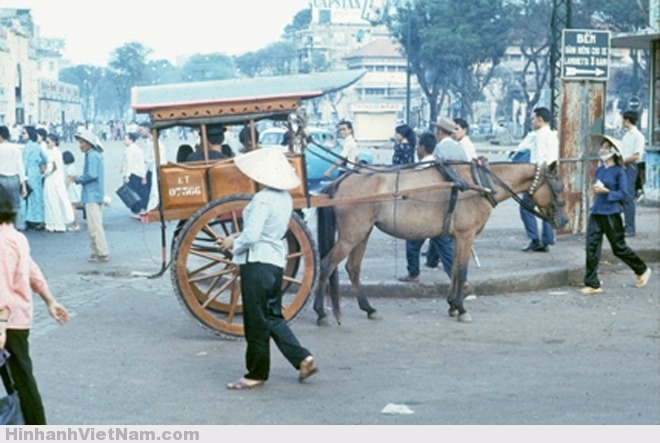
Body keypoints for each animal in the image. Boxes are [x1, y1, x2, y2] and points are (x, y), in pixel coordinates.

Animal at [314, 160, 568, 326]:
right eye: (558, 188)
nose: (564, 220)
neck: (479, 184)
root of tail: (342, 179)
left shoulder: (458, 237)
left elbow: (454, 269)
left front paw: (452, 305)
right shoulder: (466, 235)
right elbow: (462, 271)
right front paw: (461, 308)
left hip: (362, 233)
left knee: (353, 268)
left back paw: (368, 308)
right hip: (352, 234)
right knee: (326, 265)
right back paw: (321, 313)